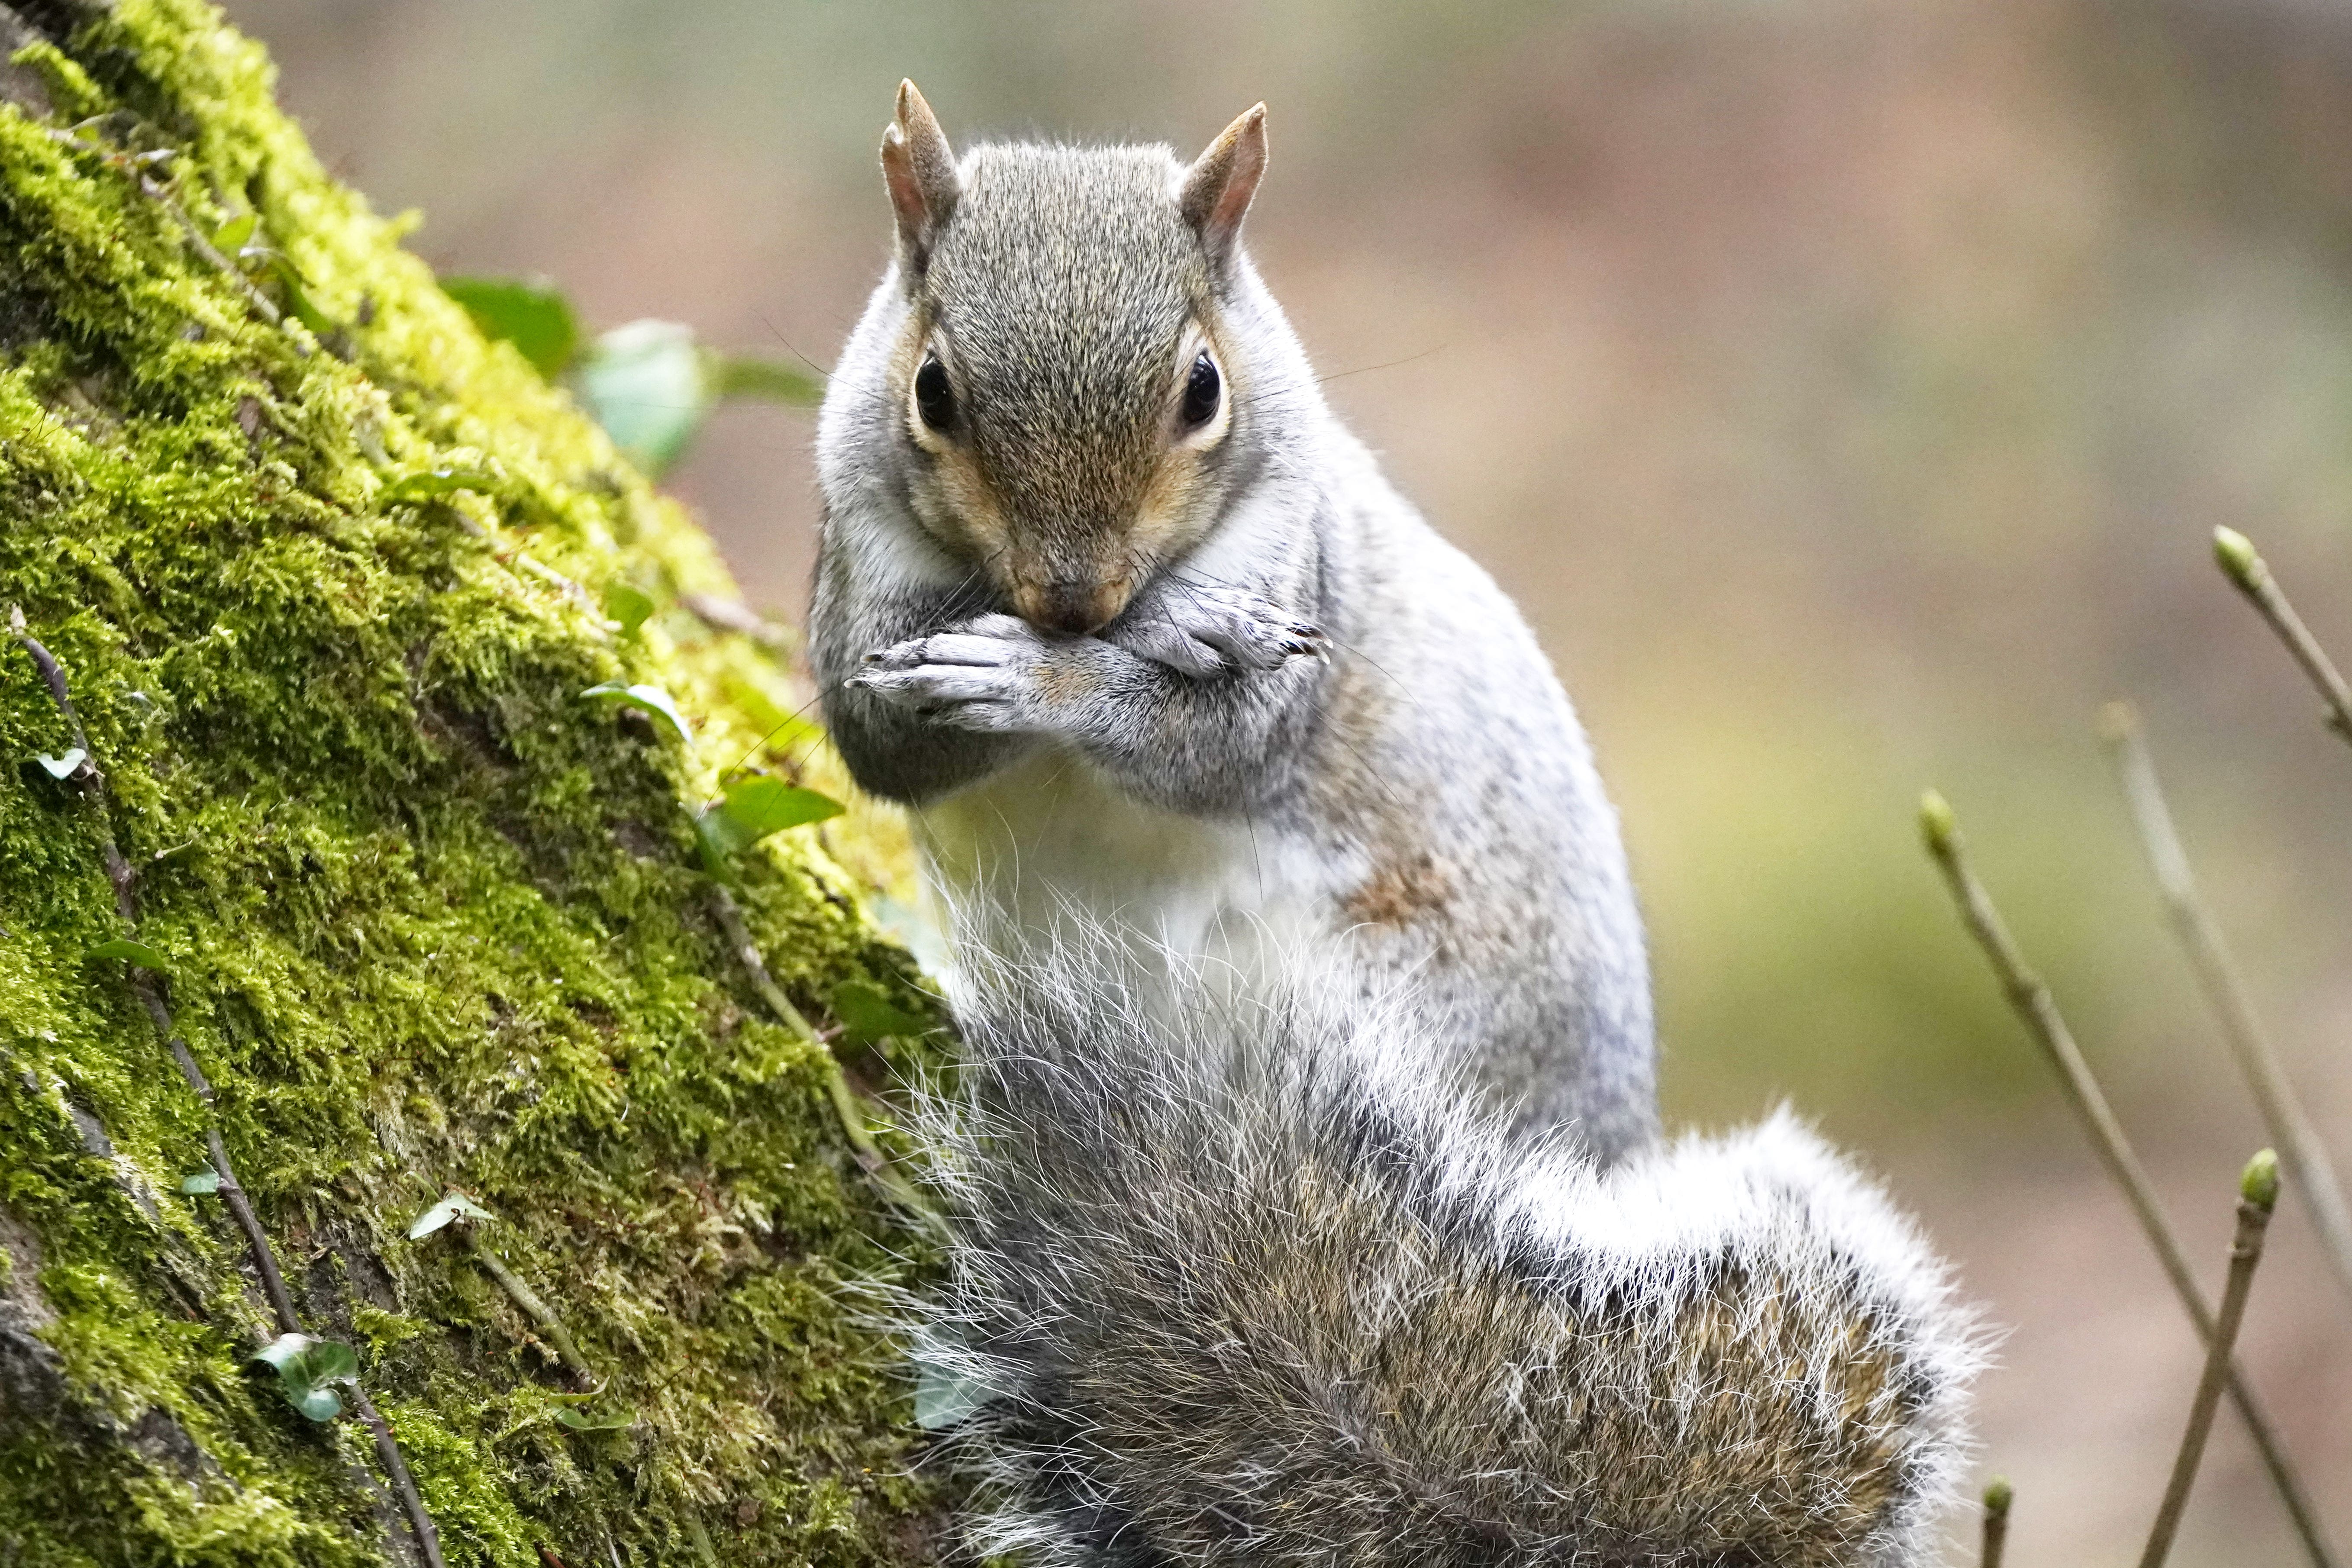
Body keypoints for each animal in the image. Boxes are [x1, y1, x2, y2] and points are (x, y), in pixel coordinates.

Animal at [818, 86, 1975, 1568]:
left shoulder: (1299, 588)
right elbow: (879, 736)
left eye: (1203, 390)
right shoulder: (854, 583)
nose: (1076, 599)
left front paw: (1105, 660)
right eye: (932, 393)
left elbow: (1220, 742)